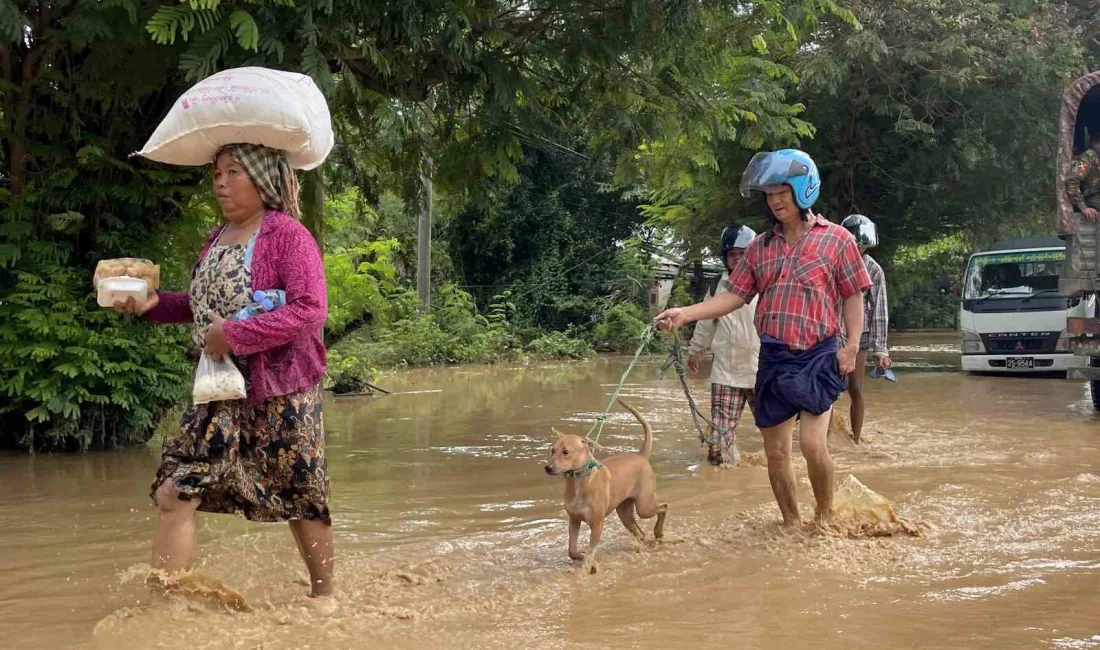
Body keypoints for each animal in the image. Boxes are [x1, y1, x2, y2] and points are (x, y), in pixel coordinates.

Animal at [545, 400, 664, 571]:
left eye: (566, 452)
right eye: (552, 450)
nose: (547, 468)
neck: (580, 482)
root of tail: (641, 455)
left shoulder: (597, 524)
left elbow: (590, 551)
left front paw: (586, 568)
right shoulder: (574, 519)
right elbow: (572, 550)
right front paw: (582, 556)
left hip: (644, 507)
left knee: (663, 506)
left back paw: (658, 531)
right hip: (625, 513)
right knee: (641, 533)